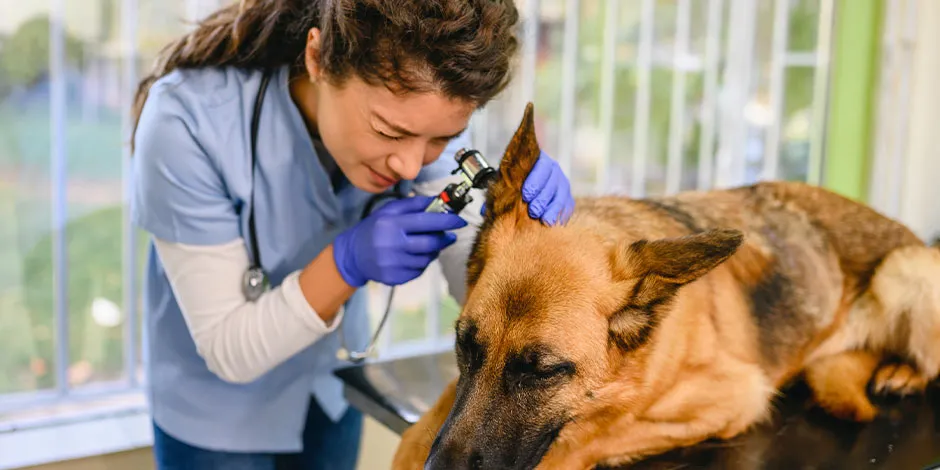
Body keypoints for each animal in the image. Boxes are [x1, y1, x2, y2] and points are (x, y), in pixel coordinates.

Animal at [390, 104, 940, 468]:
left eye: (543, 372)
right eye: (465, 345)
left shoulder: (733, 396)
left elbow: (594, 433)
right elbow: (421, 430)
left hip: (907, 267)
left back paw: (903, 372)